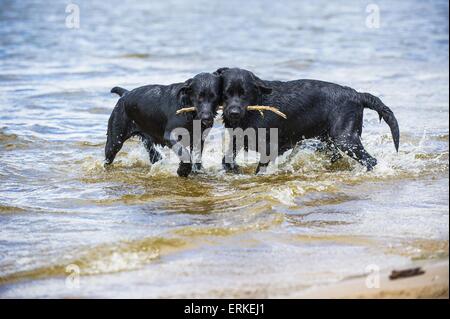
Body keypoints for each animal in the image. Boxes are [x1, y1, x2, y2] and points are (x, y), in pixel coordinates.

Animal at [216, 66, 400, 174]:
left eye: (244, 93)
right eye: (225, 93)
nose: (233, 112)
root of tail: (357, 95)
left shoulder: (271, 147)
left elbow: (260, 168)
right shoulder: (238, 138)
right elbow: (227, 160)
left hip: (344, 138)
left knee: (370, 160)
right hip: (328, 139)